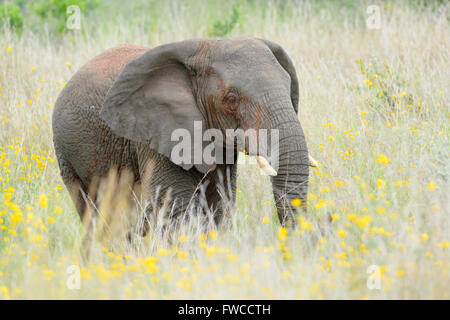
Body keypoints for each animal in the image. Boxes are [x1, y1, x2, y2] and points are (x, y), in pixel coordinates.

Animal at [51, 37, 312, 234]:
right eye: (231, 98)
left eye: (289, 87)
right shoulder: (155, 133)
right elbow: (174, 206)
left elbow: (218, 205)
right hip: (67, 154)